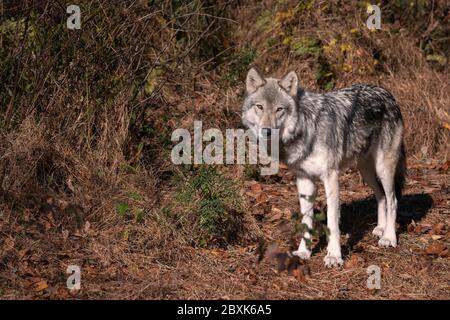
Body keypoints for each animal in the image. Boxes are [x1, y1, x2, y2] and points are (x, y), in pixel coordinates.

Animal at [241, 68, 406, 268]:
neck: (305, 129)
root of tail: (387, 93)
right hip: (365, 171)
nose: (267, 131)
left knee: (392, 199)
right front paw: (304, 252)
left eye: (279, 109)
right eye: (259, 107)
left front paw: (334, 256)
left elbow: (332, 222)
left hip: (383, 168)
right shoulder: (304, 179)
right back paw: (380, 228)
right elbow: (306, 220)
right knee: (380, 196)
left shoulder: (331, 177)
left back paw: (389, 237)